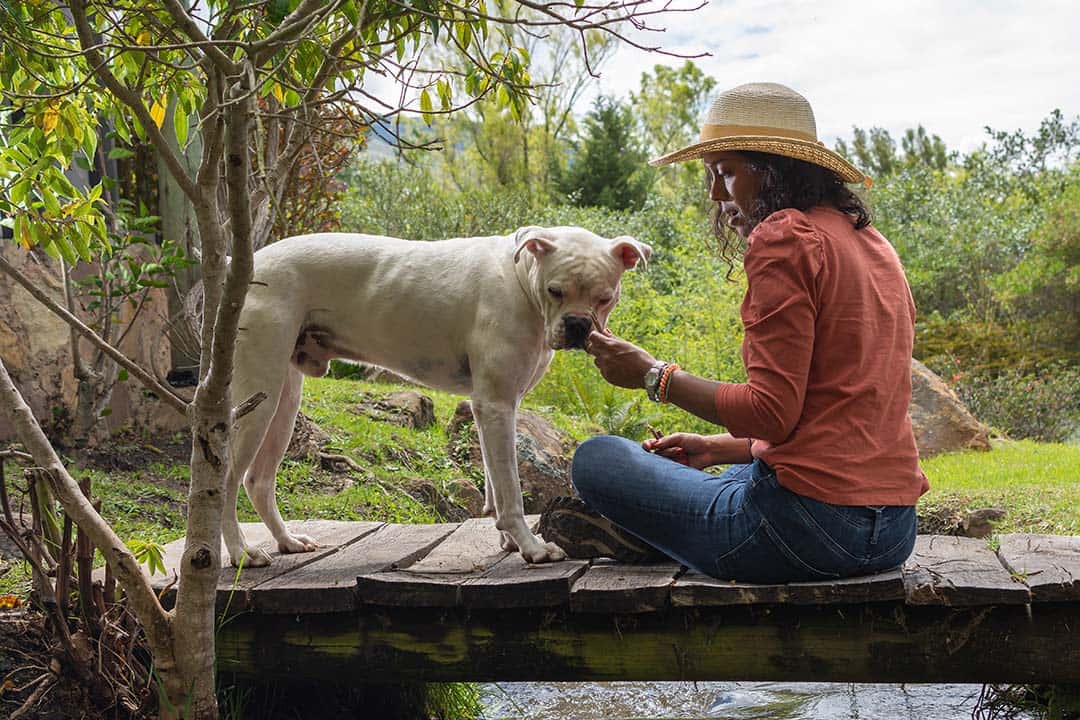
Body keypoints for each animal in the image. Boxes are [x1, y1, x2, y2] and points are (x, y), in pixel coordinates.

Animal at [223, 226, 648, 569]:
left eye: (605, 297)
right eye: (554, 291)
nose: (577, 325)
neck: (520, 282)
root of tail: (243, 263)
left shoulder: (492, 410)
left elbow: (495, 484)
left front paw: (510, 542)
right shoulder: (497, 406)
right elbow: (511, 491)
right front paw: (532, 547)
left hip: (283, 400)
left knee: (258, 480)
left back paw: (287, 541)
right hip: (257, 398)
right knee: (225, 482)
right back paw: (243, 552)